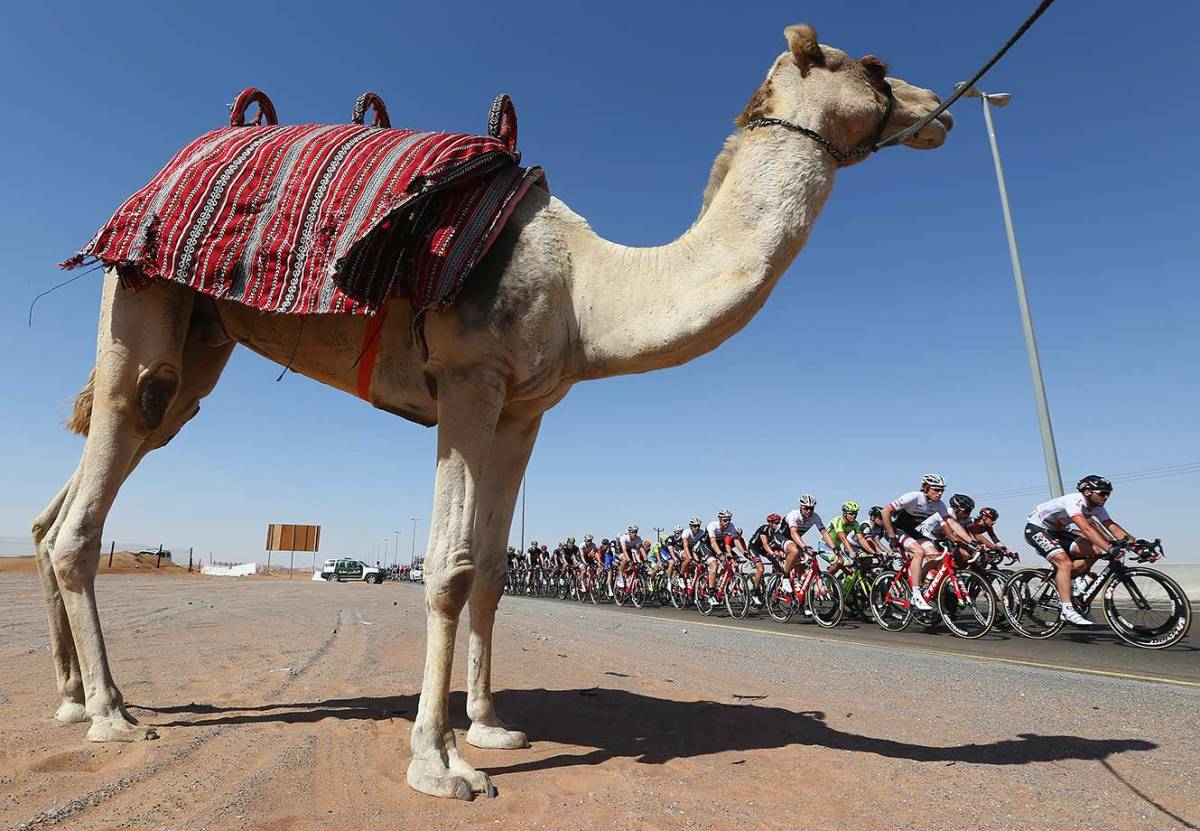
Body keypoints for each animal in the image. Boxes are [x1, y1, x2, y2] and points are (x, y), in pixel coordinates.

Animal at [32, 24, 952, 800]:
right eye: (869, 65)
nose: (939, 107)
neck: (587, 287)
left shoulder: (523, 410)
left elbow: (495, 572)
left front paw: (488, 726)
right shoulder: (468, 380)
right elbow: (449, 566)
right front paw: (438, 763)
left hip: (201, 346)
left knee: (75, 494)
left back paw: (76, 697)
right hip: (142, 300)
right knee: (89, 501)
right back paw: (112, 716)